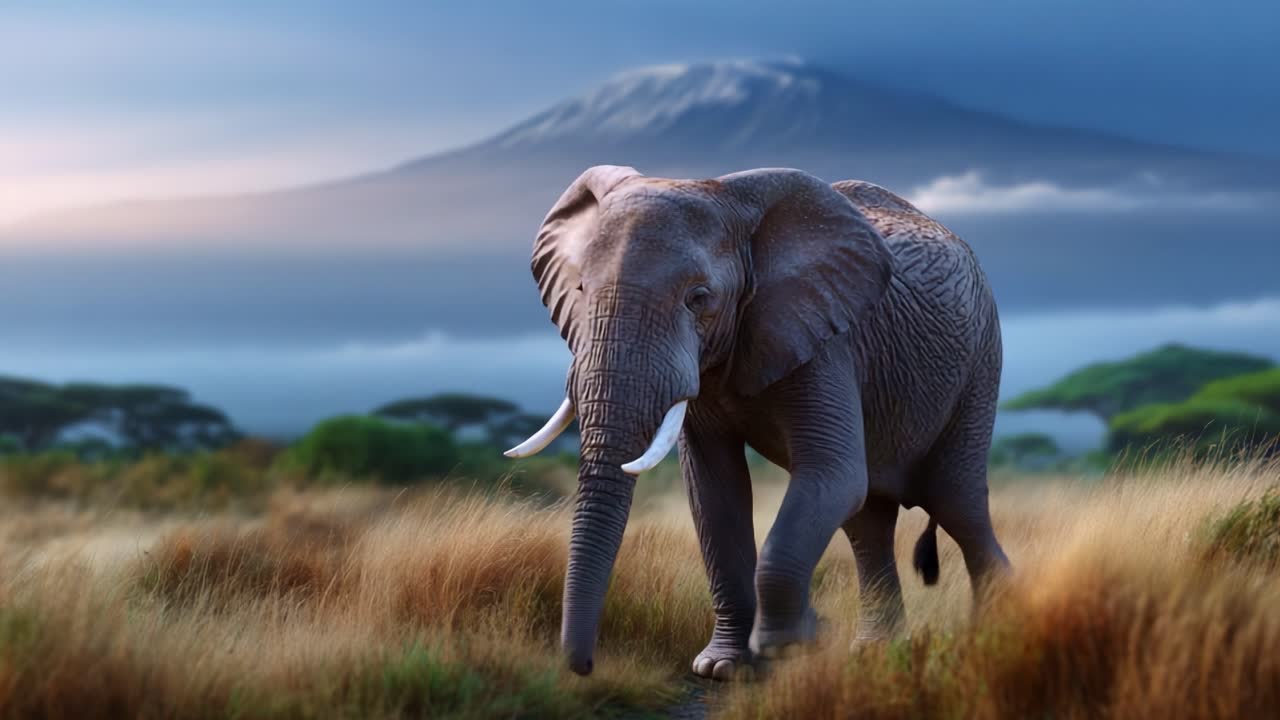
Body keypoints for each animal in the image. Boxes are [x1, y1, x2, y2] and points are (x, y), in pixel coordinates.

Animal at [505, 165, 1011, 679]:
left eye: (698, 298)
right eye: (580, 290)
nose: (584, 665)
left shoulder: (826, 338)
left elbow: (833, 472)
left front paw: (792, 645)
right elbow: (713, 492)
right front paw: (724, 668)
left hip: (980, 364)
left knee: (956, 502)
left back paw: (992, 640)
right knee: (868, 520)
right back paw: (873, 656)